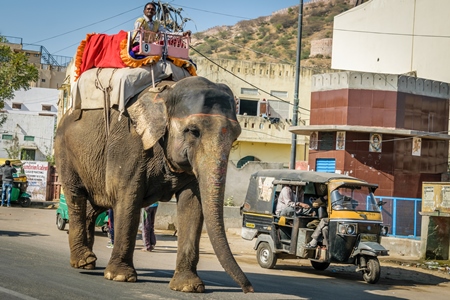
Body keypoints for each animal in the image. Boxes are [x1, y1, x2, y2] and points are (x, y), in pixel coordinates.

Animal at [53, 75, 253, 292]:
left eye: (235, 135)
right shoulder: (129, 145)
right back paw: (83, 261)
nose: (248, 289)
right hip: (64, 151)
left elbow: (192, 204)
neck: (166, 94)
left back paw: (89, 262)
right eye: (193, 131)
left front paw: (188, 286)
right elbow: (127, 197)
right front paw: (120, 277)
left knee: (95, 205)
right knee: (76, 197)